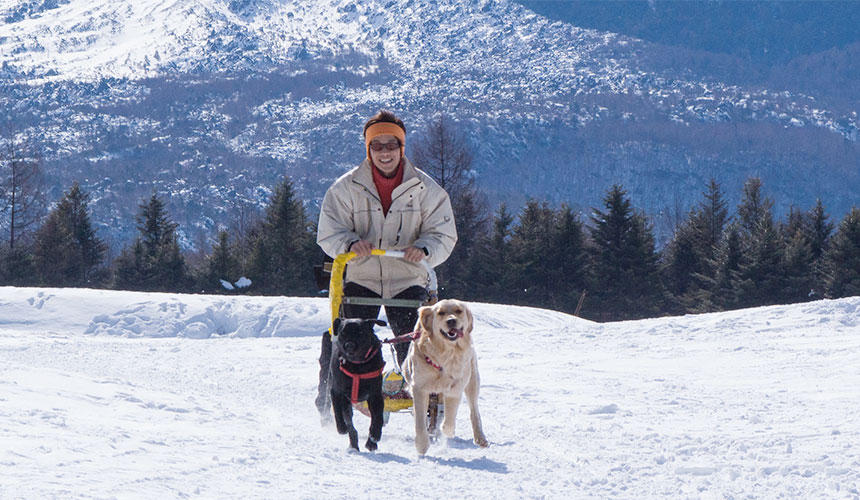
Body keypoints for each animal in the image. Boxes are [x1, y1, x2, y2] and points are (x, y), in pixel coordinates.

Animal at [328, 318, 384, 452]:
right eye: (343, 333)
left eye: (360, 332)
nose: (349, 345)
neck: (357, 366)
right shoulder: (337, 392)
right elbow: (338, 411)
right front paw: (341, 427)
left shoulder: (375, 395)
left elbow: (378, 418)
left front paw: (374, 437)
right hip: (346, 402)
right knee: (351, 426)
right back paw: (353, 444)